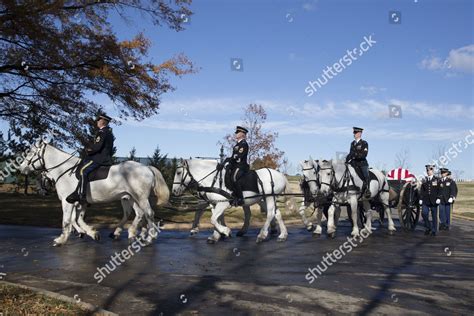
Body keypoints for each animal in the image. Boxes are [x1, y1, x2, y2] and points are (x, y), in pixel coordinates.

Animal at [19, 139, 170, 246]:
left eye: (30, 153)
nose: (21, 168)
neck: (64, 170)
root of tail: (147, 167)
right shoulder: (80, 202)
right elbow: (77, 219)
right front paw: (91, 233)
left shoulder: (67, 202)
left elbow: (67, 220)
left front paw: (61, 240)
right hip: (131, 197)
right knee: (138, 214)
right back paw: (129, 233)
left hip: (141, 198)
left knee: (148, 214)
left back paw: (149, 238)